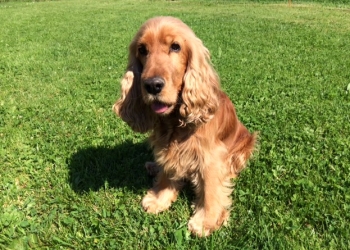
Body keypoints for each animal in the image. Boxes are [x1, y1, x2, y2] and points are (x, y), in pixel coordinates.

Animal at [113, 16, 256, 236]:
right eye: (142, 49)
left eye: (175, 46)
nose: (152, 85)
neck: (174, 121)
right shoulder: (166, 147)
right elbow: (167, 171)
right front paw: (159, 199)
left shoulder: (211, 156)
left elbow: (211, 189)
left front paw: (206, 221)